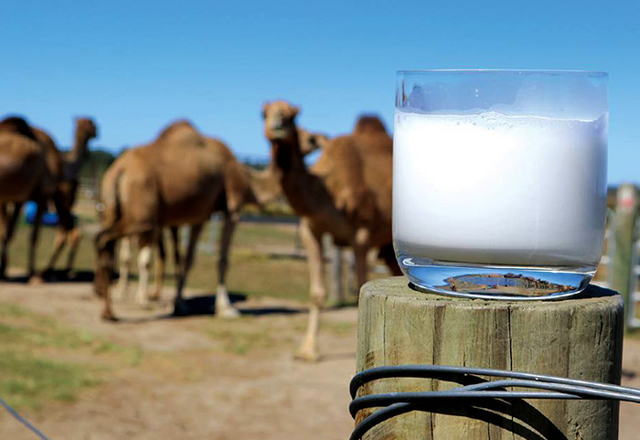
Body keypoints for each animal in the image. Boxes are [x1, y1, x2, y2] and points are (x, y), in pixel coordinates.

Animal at [0, 116, 96, 282]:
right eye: (92, 124)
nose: (97, 132)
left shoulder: (19, 198)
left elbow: (9, 232)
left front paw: (6, 271)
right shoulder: (40, 195)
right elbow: (28, 234)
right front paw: (31, 273)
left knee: (70, 233)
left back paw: (55, 271)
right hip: (61, 201)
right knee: (69, 233)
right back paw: (51, 272)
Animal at [95, 120, 282, 320]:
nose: (276, 126)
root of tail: (117, 170)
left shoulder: (196, 217)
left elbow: (185, 258)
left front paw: (179, 304)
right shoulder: (232, 208)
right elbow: (220, 258)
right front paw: (225, 308)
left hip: (115, 210)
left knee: (108, 243)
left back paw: (109, 305)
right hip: (142, 217)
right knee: (109, 242)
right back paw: (119, 305)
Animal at [260, 101, 400, 362]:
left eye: (292, 115)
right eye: (263, 113)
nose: (277, 126)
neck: (329, 191)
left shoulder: (361, 235)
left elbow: (359, 288)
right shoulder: (310, 229)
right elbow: (316, 293)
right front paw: (307, 351)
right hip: (387, 247)